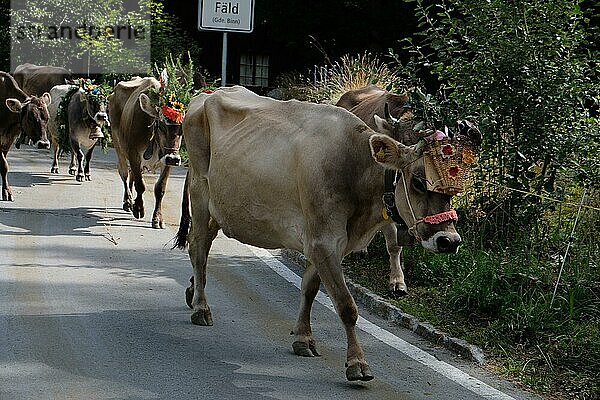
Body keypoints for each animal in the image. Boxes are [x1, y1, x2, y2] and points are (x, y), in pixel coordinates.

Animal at [0, 71, 51, 200]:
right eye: (30, 118)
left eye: (47, 117)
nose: (44, 144)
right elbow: (4, 165)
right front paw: (7, 192)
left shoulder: (8, 142)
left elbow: (4, 166)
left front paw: (6, 190)